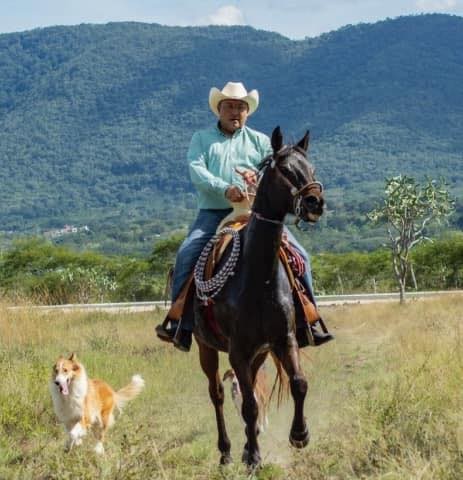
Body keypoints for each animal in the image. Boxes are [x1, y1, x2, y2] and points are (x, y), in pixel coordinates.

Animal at [192, 126, 325, 467]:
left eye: (312, 169)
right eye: (286, 170)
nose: (315, 202)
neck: (258, 279)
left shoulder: (283, 339)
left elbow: (299, 384)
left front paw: (299, 435)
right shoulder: (237, 349)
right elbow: (249, 404)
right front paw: (253, 457)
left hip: (259, 352)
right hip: (206, 347)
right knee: (218, 394)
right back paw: (227, 451)